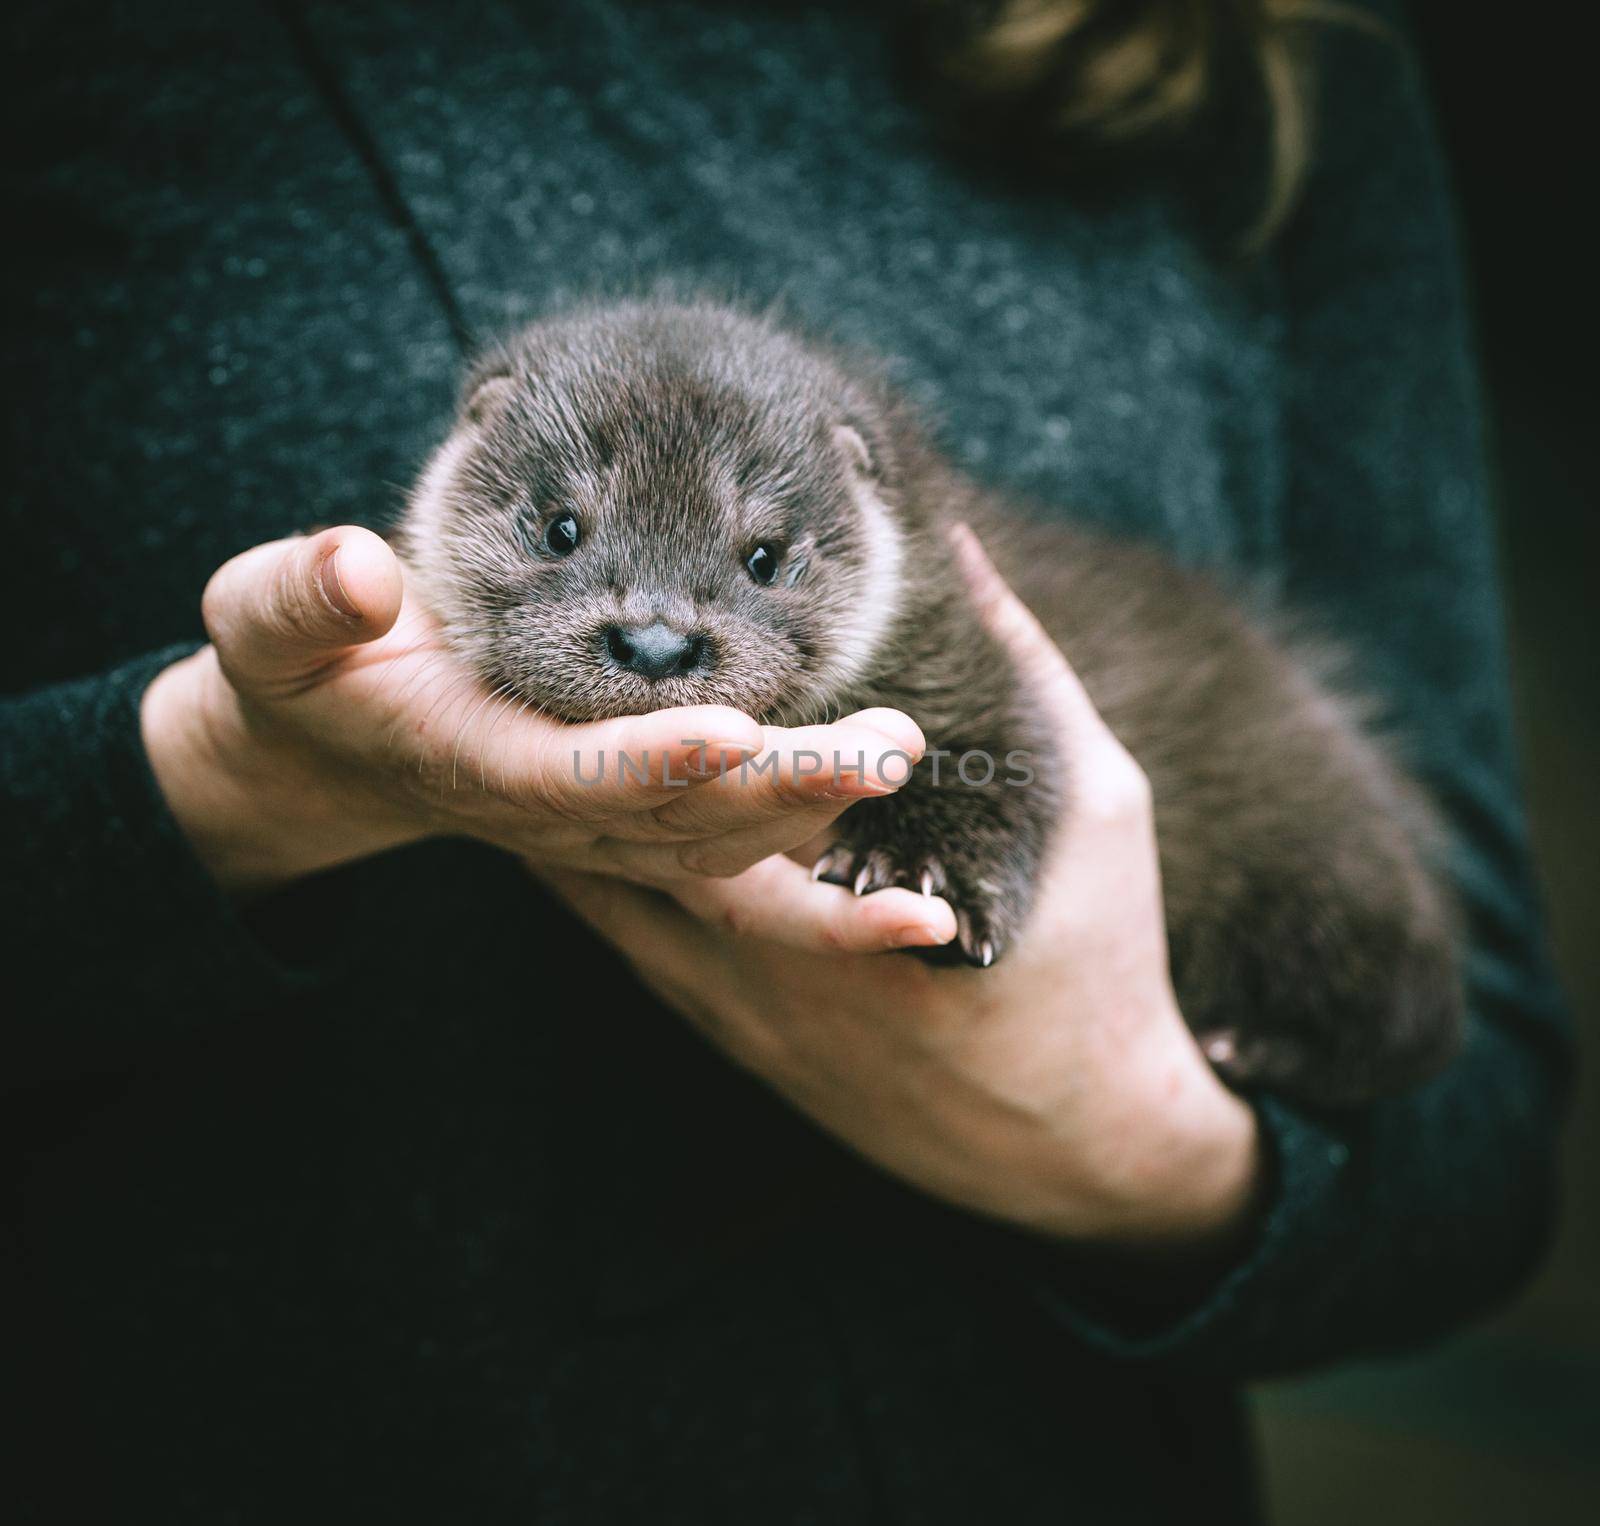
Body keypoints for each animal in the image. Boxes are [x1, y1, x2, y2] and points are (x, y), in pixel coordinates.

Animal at [396, 300, 1465, 1106]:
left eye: (764, 555)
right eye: (559, 526)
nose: (656, 643)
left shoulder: (975, 661)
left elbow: (999, 758)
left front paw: (923, 872)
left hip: (1327, 865)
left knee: (1419, 1011)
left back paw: (1256, 1047)